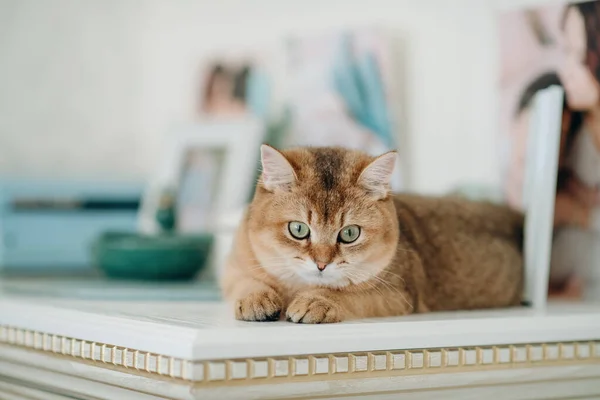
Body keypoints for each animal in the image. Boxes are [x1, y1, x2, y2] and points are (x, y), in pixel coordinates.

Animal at [221, 145, 524, 324]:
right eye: (298, 229)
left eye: (349, 233)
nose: (321, 264)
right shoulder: (234, 266)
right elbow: (244, 282)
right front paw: (256, 299)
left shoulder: (398, 294)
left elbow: (348, 295)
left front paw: (317, 300)